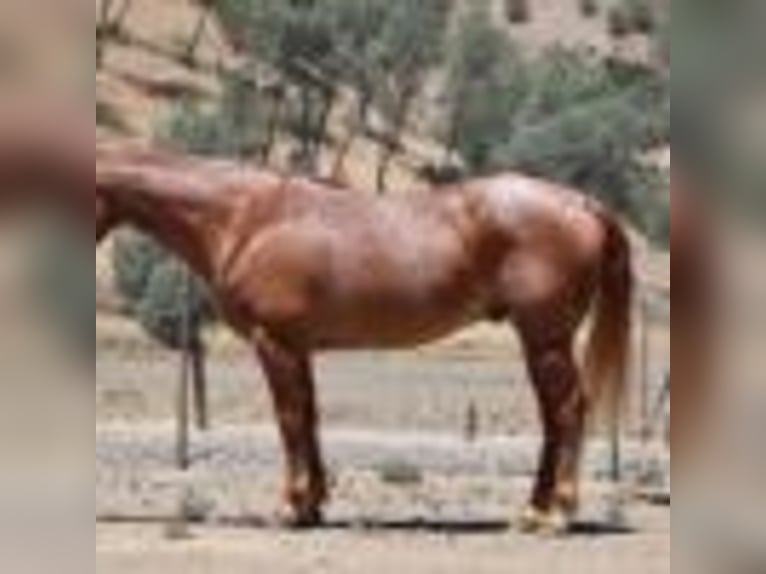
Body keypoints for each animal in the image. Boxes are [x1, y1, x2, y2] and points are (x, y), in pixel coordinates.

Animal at [96, 144, 634, 533]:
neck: (248, 218)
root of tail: (580, 203)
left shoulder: (274, 343)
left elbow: (289, 420)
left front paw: (290, 508)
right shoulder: (297, 347)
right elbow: (309, 419)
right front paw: (313, 505)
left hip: (546, 339)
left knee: (567, 411)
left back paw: (556, 513)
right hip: (543, 341)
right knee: (554, 418)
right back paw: (532, 511)